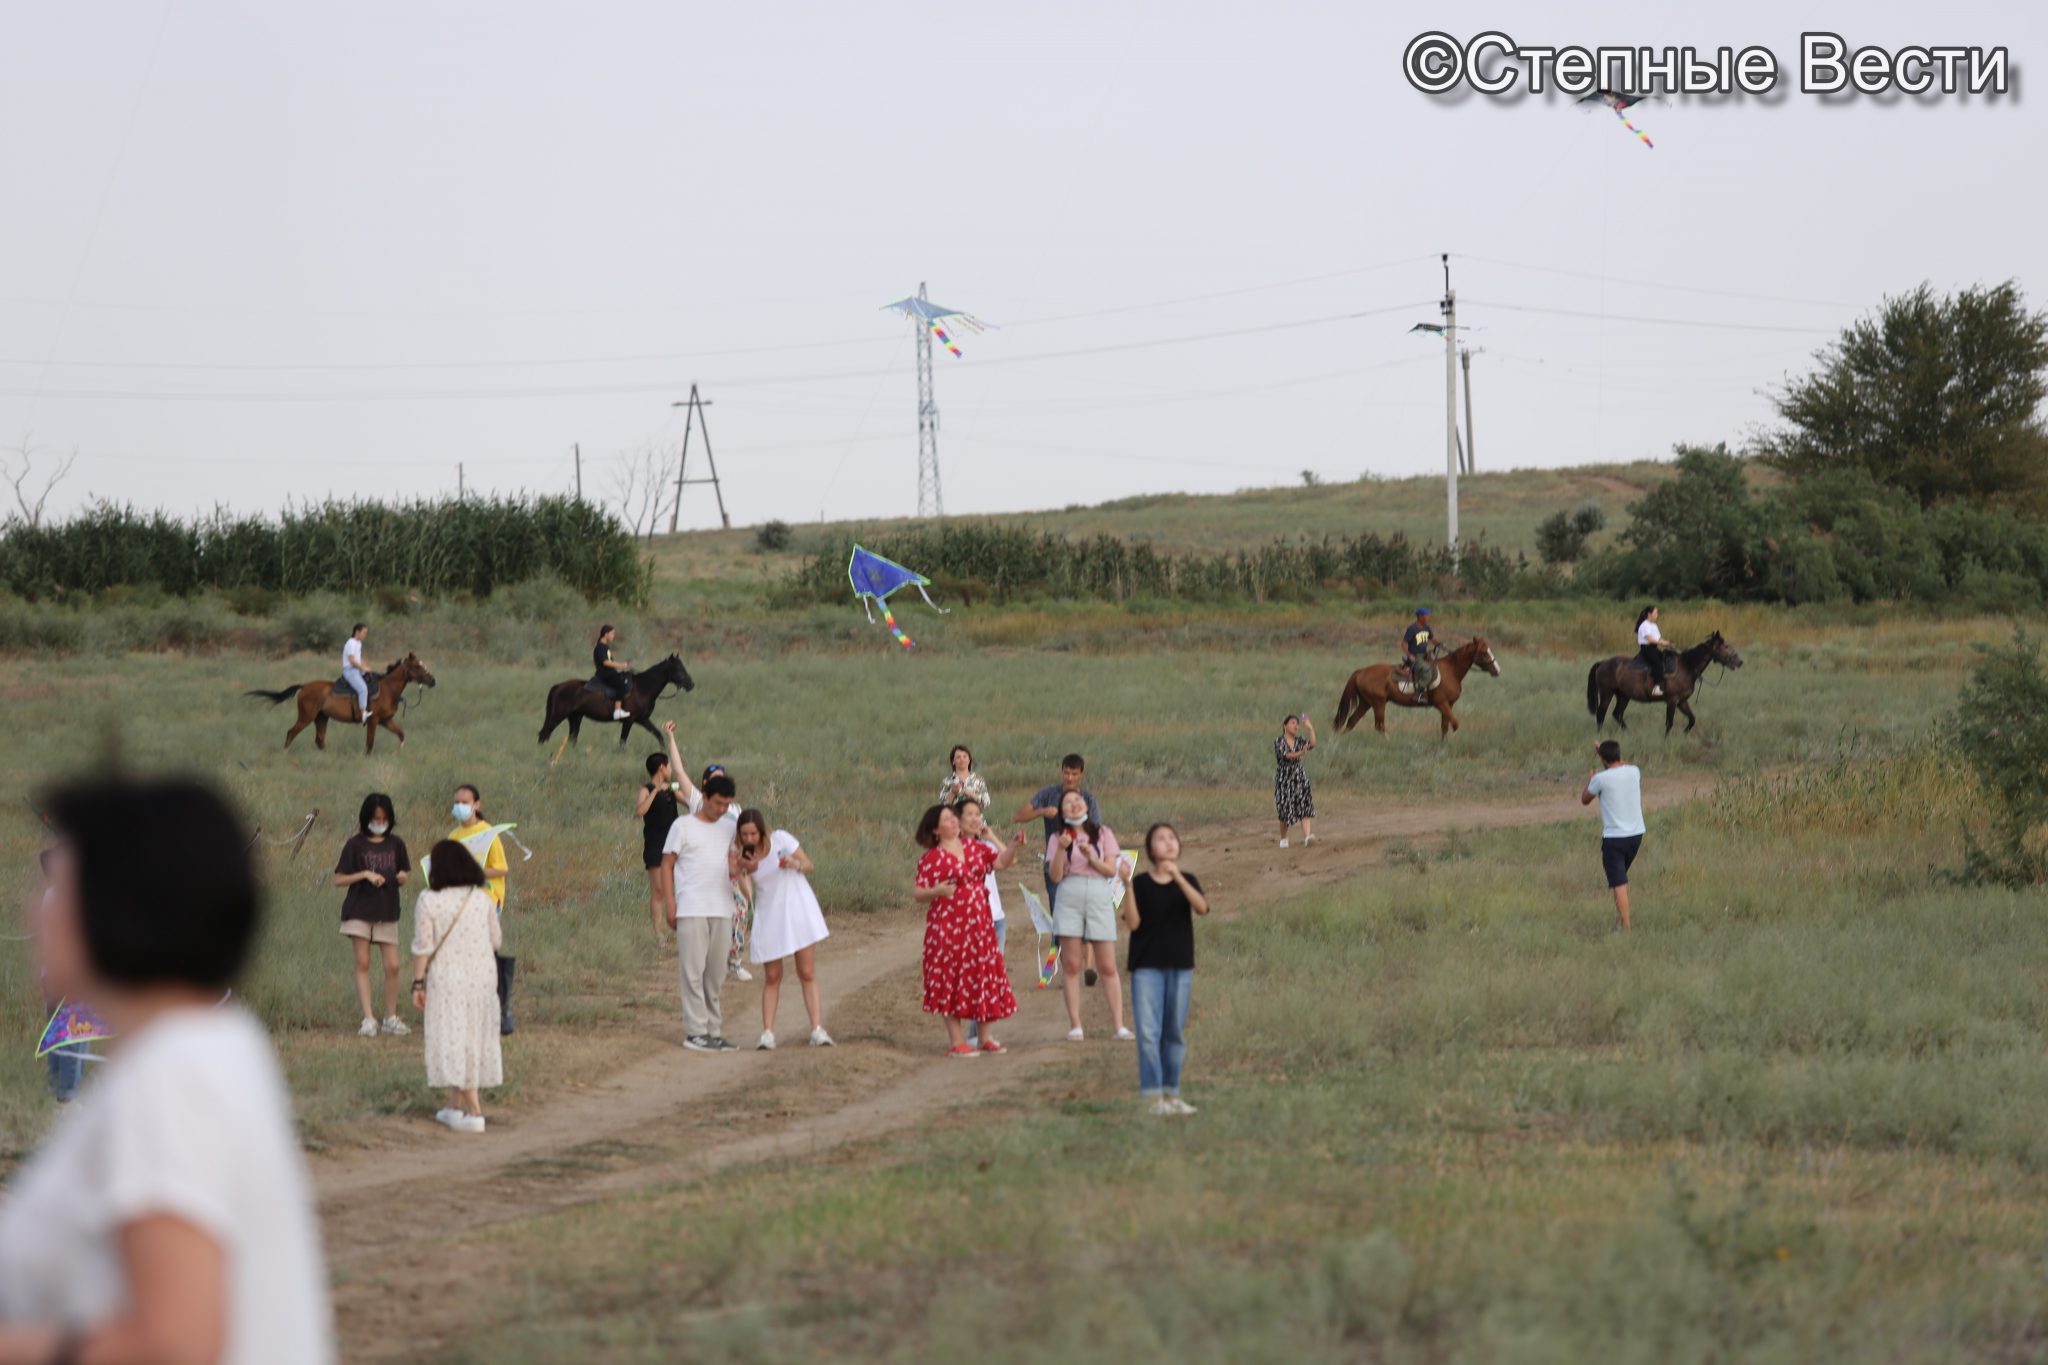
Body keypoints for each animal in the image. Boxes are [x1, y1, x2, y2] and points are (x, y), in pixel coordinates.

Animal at [248, 654, 440, 753]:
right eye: (418, 666)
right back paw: (286, 752)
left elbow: (401, 734)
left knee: (319, 740)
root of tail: (304, 686)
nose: (433, 680)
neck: (388, 689)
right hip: (306, 717)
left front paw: (401, 750)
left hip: (321, 718)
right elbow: (370, 743)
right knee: (291, 732)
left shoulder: (386, 721)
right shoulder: (374, 720)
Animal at [536, 650, 696, 749]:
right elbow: (622, 742)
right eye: (679, 669)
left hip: (575, 717)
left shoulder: (643, 719)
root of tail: (559, 686)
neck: (642, 688)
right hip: (559, 715)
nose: (691, 684)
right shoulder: (629, 721)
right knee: (544, 733)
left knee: (571, 738)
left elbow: (658, 735)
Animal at [1327, 638, 1507, 736]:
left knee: (1352, 721)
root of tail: (1361, 671)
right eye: (1483, 652)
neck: (1451, 671)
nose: (1497, 669)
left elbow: (1445, 727)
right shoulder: (1442, 704)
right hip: (1378, 704)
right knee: (1379, 726)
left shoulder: (1448, 705)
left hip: (1366, 703)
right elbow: (1455, 724)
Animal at [1581, 634, 1744, 736]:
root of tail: (1602, 663)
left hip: (1623, 696)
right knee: (1601, 714)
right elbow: (1669, 723)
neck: (1687, 667)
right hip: (1607, 693)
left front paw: (1684, 733)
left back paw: (1629, 733)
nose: (1739, 661)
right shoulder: (1672, 700)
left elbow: (1692, 719)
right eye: (1725, 647)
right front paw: (1666, 740)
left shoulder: (1682, 701)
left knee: (1617, 714)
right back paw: (1600, 736)